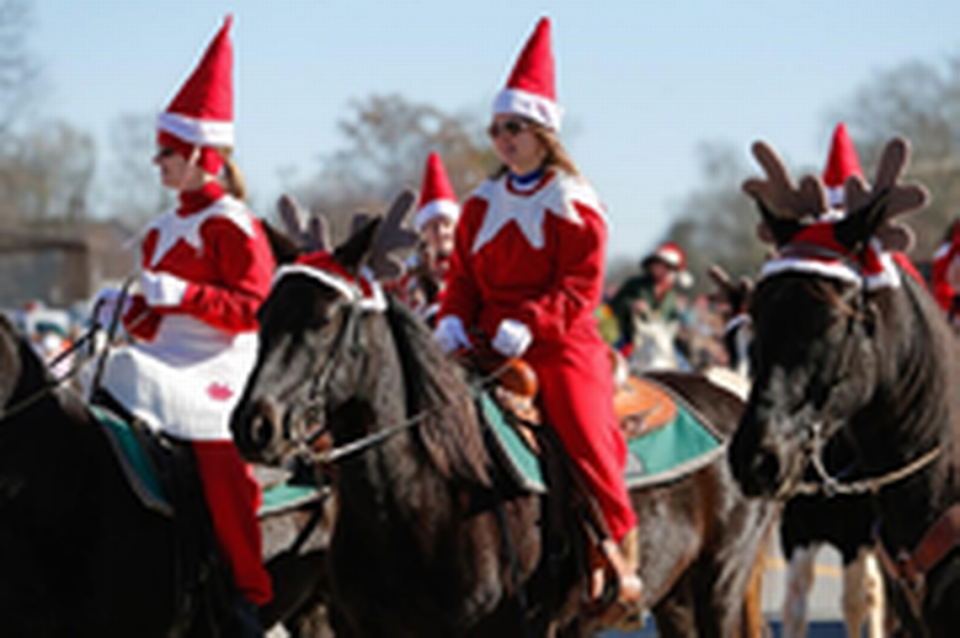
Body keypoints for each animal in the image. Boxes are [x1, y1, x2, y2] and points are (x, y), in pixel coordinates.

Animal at [229, 220, 776, 638]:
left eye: (324, 319)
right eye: (262, 313)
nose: (254, 424)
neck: (425, 500)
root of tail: (731, 396)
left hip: (719, 587)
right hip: (678, 600)